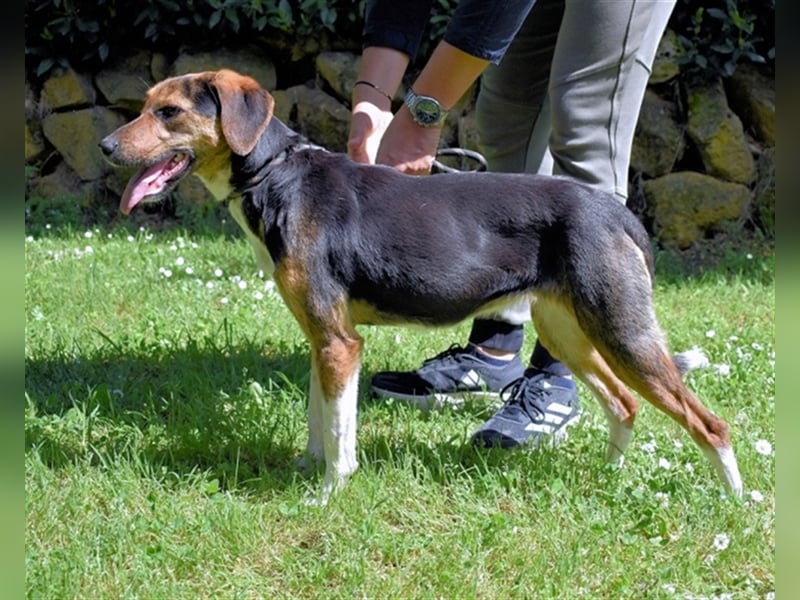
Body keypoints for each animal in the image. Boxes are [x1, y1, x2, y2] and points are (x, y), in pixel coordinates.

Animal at [100, 68, 744, 504]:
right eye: (146, 107)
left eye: (169, 113)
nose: (106, 147)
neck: (276, 176)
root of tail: (613, 211)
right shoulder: (322, 338)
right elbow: (318, 422)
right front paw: (306, 471)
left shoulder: (341, 343)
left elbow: (340, 436)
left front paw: (327, 496)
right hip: (568, 330)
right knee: (623, 404)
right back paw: (611, 475)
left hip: (621, 330)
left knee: (709, 424)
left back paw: (735, 502)